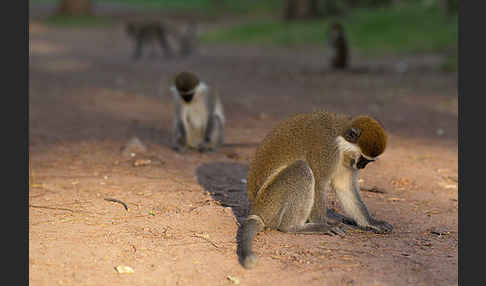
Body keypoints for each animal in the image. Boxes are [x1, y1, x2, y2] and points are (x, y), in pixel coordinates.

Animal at [241, 109, 392, 268]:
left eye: (368, 161)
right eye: (363, 159)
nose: (361, 167)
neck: (339, 135)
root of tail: (256, 209)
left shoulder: (344, 158)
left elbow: (344, 187)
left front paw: (372, 222)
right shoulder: (327, 149)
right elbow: (319, 182)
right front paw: (322, 224)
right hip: (271, 203)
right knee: (301, 169)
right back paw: (294, 227)